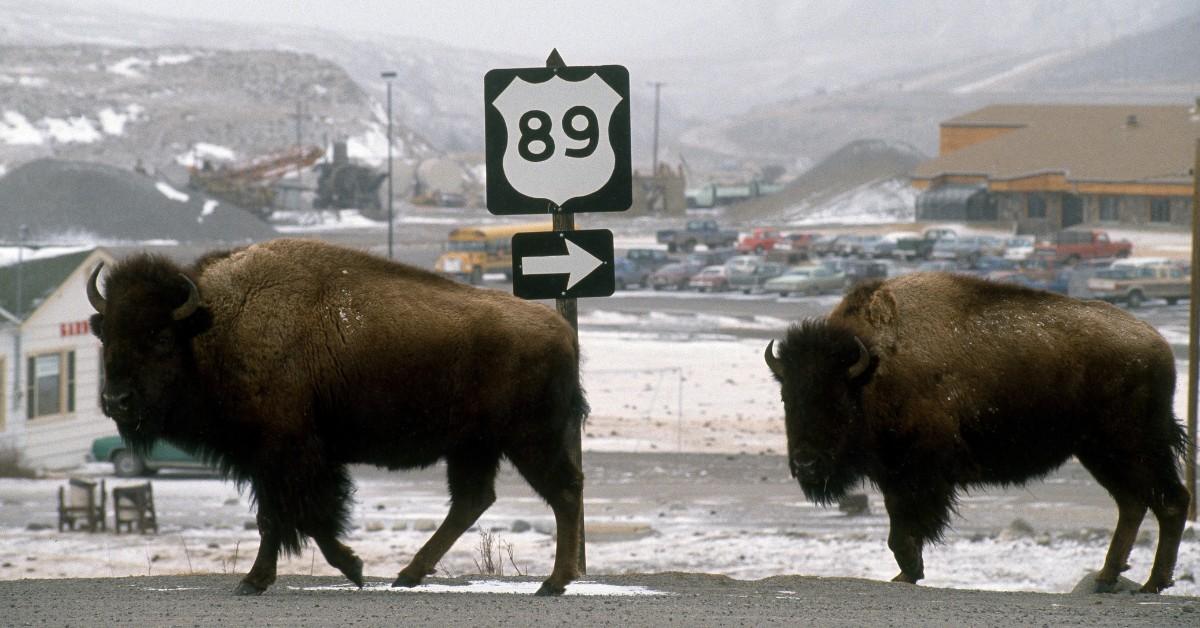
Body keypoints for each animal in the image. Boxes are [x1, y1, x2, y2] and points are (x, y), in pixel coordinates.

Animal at [87, 238, 588, 597]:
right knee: (472, 501)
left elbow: (292, 517)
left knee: (563, 491)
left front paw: (285, 576)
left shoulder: (287, 455)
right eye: (106, 333)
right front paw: (314, 572)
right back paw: (409, 574)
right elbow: (290, 518)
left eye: (160, 337)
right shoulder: (275, 461)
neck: (216, 326)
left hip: (529, 442)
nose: (116, 400)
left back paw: (552, 584)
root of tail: (563, 331)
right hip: (472, 447)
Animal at [763, 272, 1185, 593]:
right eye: (786, 397)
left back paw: (1151, 584)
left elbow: (903, 531)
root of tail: (1160, 346)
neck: (874, 369)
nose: (806, 464)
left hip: (1131, 447)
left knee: (1169, 501)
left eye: (837, 400)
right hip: (1099, 453)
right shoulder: (894, 476)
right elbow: (900, 528)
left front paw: (907, 574)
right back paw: (1107, 577)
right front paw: (907, 573)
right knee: (1133, 504)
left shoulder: (916, 475)